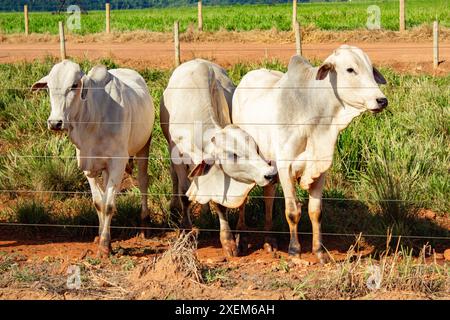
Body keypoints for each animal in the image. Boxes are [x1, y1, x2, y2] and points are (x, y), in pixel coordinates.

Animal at [31, 59, 155, 255]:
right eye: (49, 87)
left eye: (74, 85)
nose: (55, 122)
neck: (92, 119)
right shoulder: (88, 166)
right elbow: (99, 202)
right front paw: (101, 236)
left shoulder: (117, 163)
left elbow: (109, 205)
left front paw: (105, 245)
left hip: (144, 145)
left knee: (143, 181)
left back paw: (144, 224)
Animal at [160, 58, 276, 256]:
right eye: (233, 154)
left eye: (255, 148)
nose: (270, 174)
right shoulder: (177, 155)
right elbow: (184, 193)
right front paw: (185, 231)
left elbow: (220, 203)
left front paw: (228, 241)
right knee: (174, 177)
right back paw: (174, 208)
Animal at [232, 43, 386, 262]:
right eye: (350, 69)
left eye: (371, 69)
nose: (381, 100)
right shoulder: (285, 167)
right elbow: (292, 211)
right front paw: (294, 250)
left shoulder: (320, 168)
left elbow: (315, 211)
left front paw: (319, 251)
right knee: (244, 198)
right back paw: (242, 236)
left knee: (268, 196)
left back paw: (269, 240)